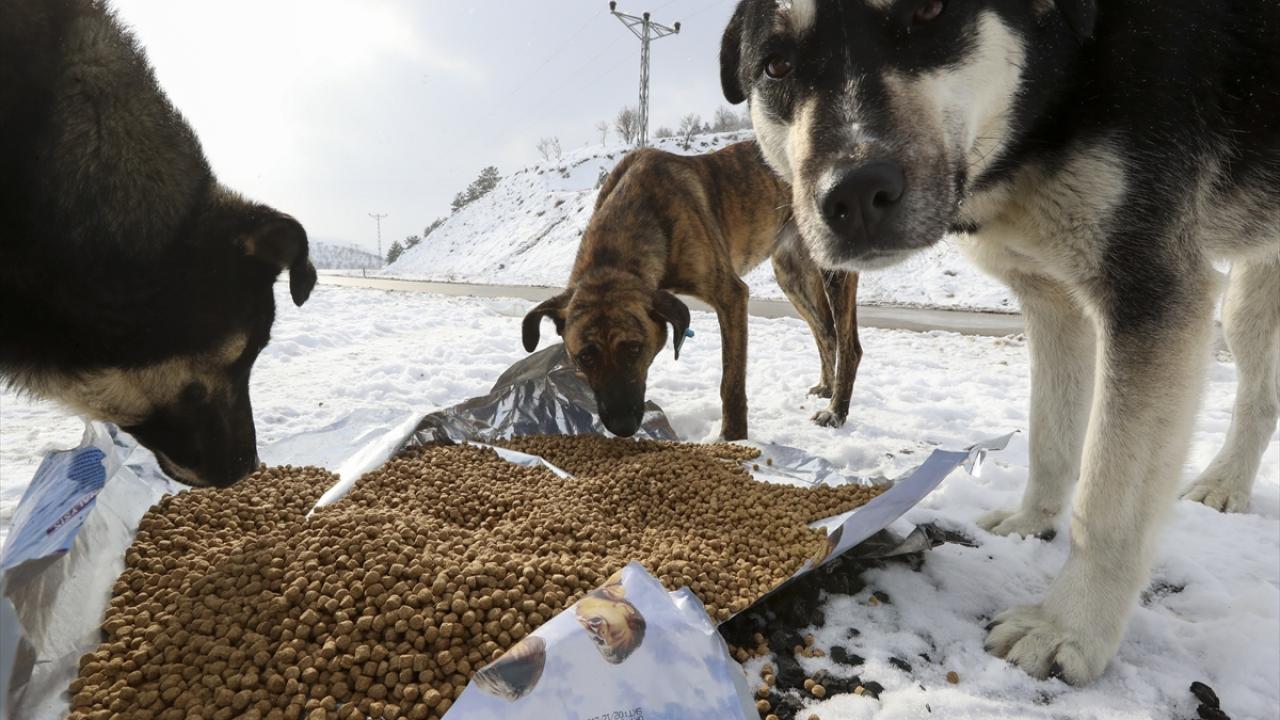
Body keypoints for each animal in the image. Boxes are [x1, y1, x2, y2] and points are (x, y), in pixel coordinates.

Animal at [522, 141, 862, 440]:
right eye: (585, 357)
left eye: (634, 348)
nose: (622, 427)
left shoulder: (731, 295)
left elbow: (731, 382)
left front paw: (733, 439)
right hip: (791, 275)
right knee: (826, 333)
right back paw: (827, 389)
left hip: (834, 273)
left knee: (850, 347)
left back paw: (836, 411)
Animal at [720, 0, 1279, 685]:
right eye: (775, 65)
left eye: (927, 11)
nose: (852, 195)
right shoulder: (1052, 300)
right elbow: (1051, 436)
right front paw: (1031, 522)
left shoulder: (1150, 289)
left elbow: (1110, 502)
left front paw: (1068, 628)